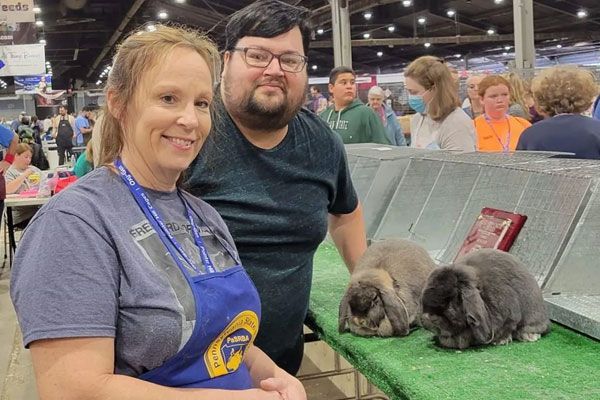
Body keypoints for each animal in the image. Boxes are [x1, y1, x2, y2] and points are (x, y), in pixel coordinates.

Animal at [420, 248, 552, 348]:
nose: (428, 317)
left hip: (533, 316)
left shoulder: (510, 317)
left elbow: (507, 328)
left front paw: (501, 341)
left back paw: (529, 336)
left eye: (450, 301)